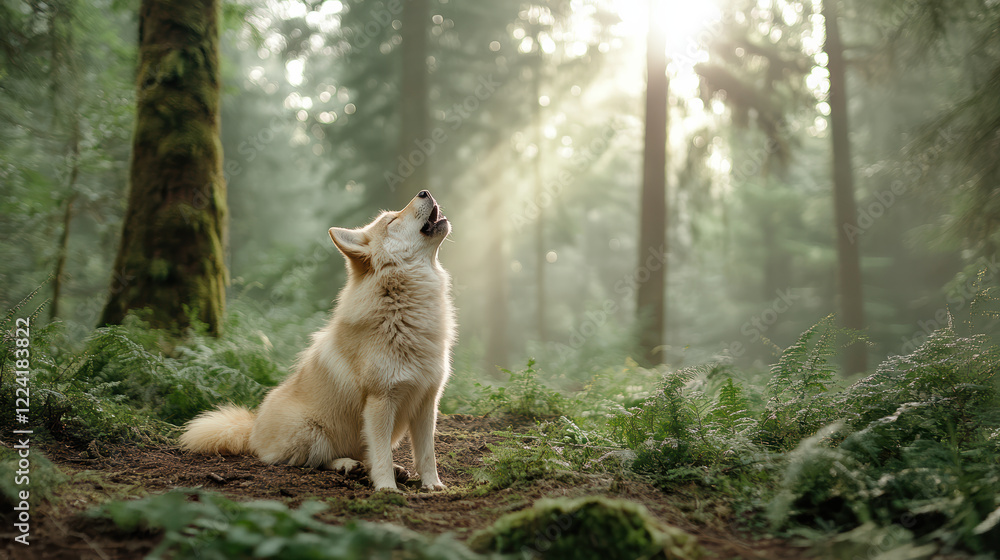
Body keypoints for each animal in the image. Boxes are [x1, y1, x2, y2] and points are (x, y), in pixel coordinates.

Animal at [180, 190, 455, 492]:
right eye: (391, 220)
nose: (424, 192)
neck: (405, 313)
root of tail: (252, 429)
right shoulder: (380, 400)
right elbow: (381, 454)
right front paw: (386, 488)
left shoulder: (427, 402)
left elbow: (426, 455)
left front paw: (433, 486)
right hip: (313, 433)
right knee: (319, 461)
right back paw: (349, 466)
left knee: (363, 455)